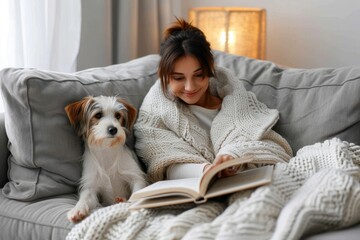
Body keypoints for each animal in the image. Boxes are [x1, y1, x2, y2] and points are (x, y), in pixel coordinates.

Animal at [65, 95, 148, 223]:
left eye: (117, 116)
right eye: (98, 115)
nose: (113, 129)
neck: (106, 150)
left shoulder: (136, 177)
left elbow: (136, 192)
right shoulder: (90, 186)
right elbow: (85, 197)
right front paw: (77, 209)